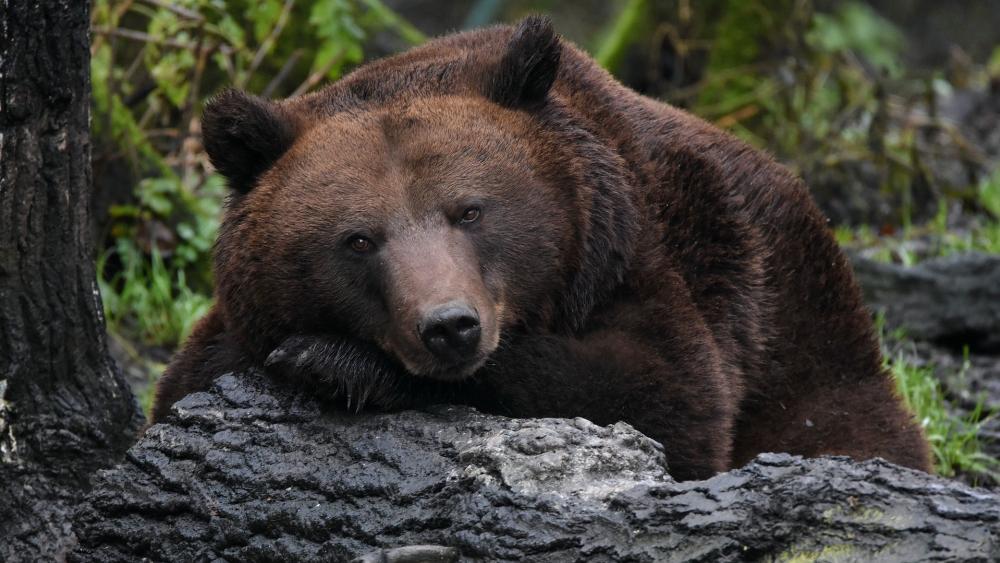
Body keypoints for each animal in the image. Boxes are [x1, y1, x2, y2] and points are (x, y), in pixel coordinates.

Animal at [152, 16, 932, 480]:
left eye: (469, 210)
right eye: (359, 238)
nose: (449, 327)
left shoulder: (645, 262)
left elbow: (664, 396)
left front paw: (334, 360)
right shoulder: (227, 332)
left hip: (803, 340)